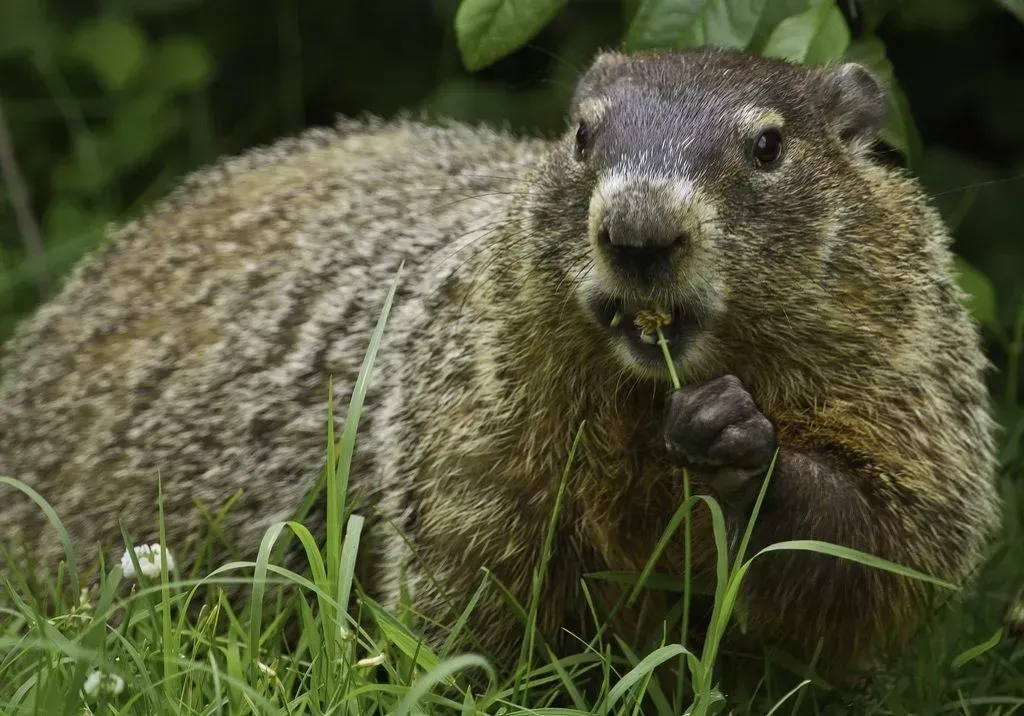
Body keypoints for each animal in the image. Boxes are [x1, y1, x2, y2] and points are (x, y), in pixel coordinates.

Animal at [0, 47, 1001, 679]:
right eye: (582, 138)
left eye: (768, 145)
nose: (638, 227)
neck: (644, 401)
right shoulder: (476, 399)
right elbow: (473, 565)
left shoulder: (902, 354)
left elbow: (896, 531)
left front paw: (740, 443)